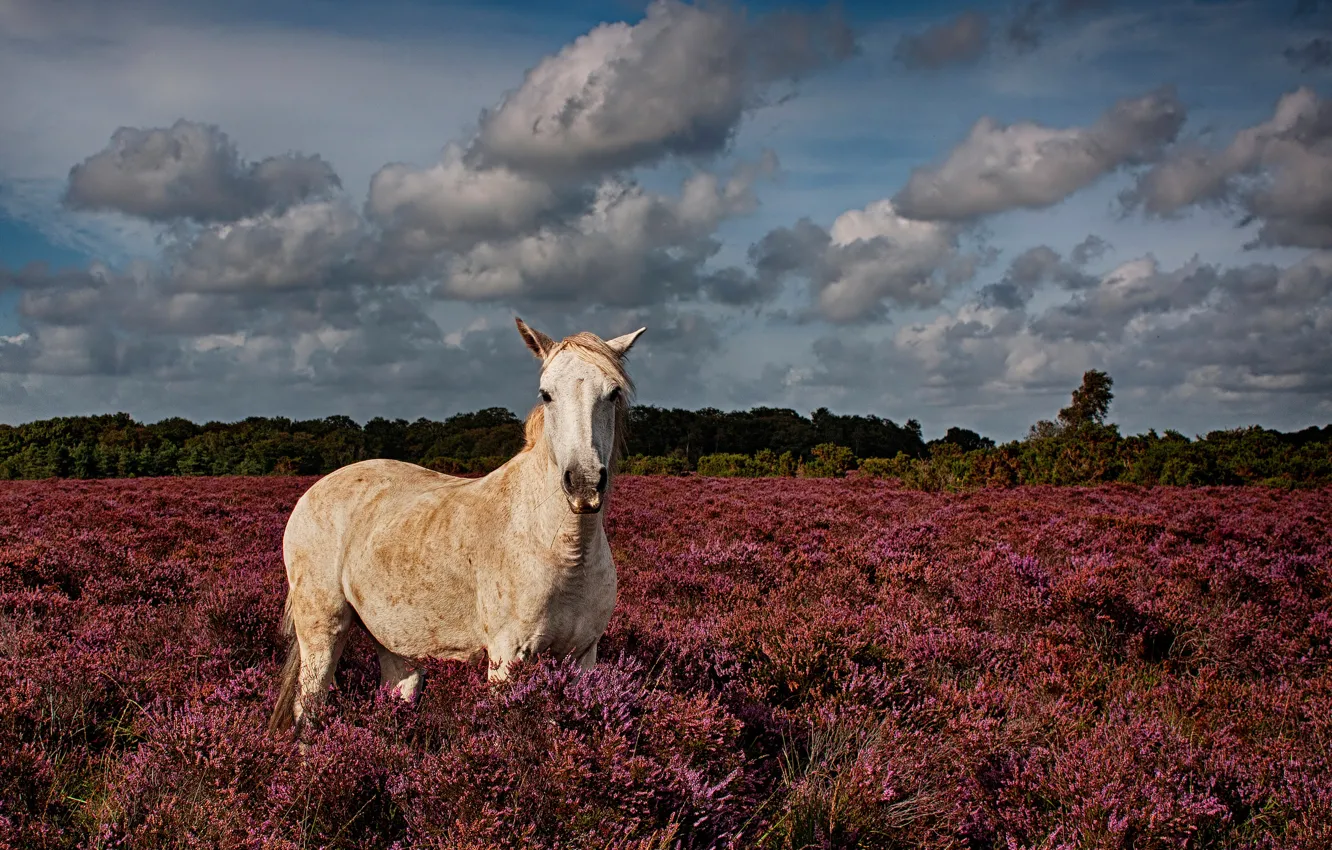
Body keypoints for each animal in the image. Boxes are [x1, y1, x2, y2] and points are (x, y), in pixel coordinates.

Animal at [268, 318, 645, 735]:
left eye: (612, 393)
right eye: (546, 394)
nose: (583, 483)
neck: (565, 551)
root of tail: (314, 491)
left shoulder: (581, 658)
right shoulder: (508, 657)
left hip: (396, 641)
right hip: (321, 629)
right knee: (309, 709)